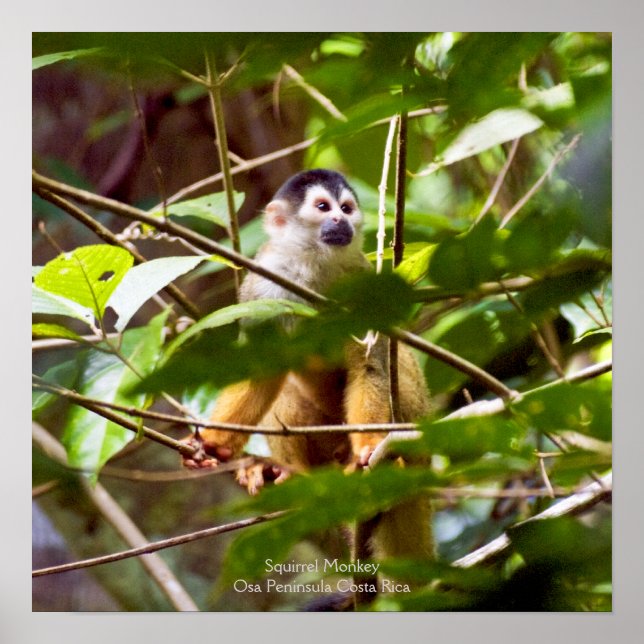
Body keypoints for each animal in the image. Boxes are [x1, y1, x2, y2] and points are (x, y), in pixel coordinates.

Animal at [184, 169, 434, 565]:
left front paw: (368, 449)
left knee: (398, 364)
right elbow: (262, 370)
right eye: (322, 207)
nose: (341, 221)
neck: (311, 268)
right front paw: (214, 445)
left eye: (346, 208)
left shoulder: (364, 283)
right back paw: (295, 475)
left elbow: (371, 367)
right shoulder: (262, 288)